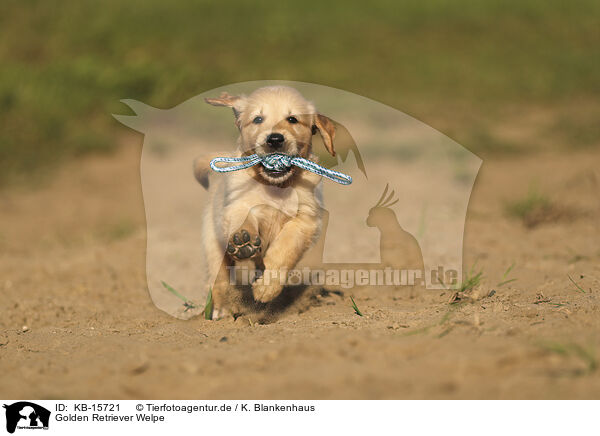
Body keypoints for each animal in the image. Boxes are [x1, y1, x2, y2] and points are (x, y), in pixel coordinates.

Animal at [197, 86, 338, 316]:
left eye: (292, 119)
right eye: (258, 119)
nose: (274, 139)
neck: (276, 187)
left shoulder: (304, 221)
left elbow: (283, 252)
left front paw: (266, 288)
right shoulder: (238, 205)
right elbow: (244, 220)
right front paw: (242, 241)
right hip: (213, 241)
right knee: (218, 277)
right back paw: (221, 309)